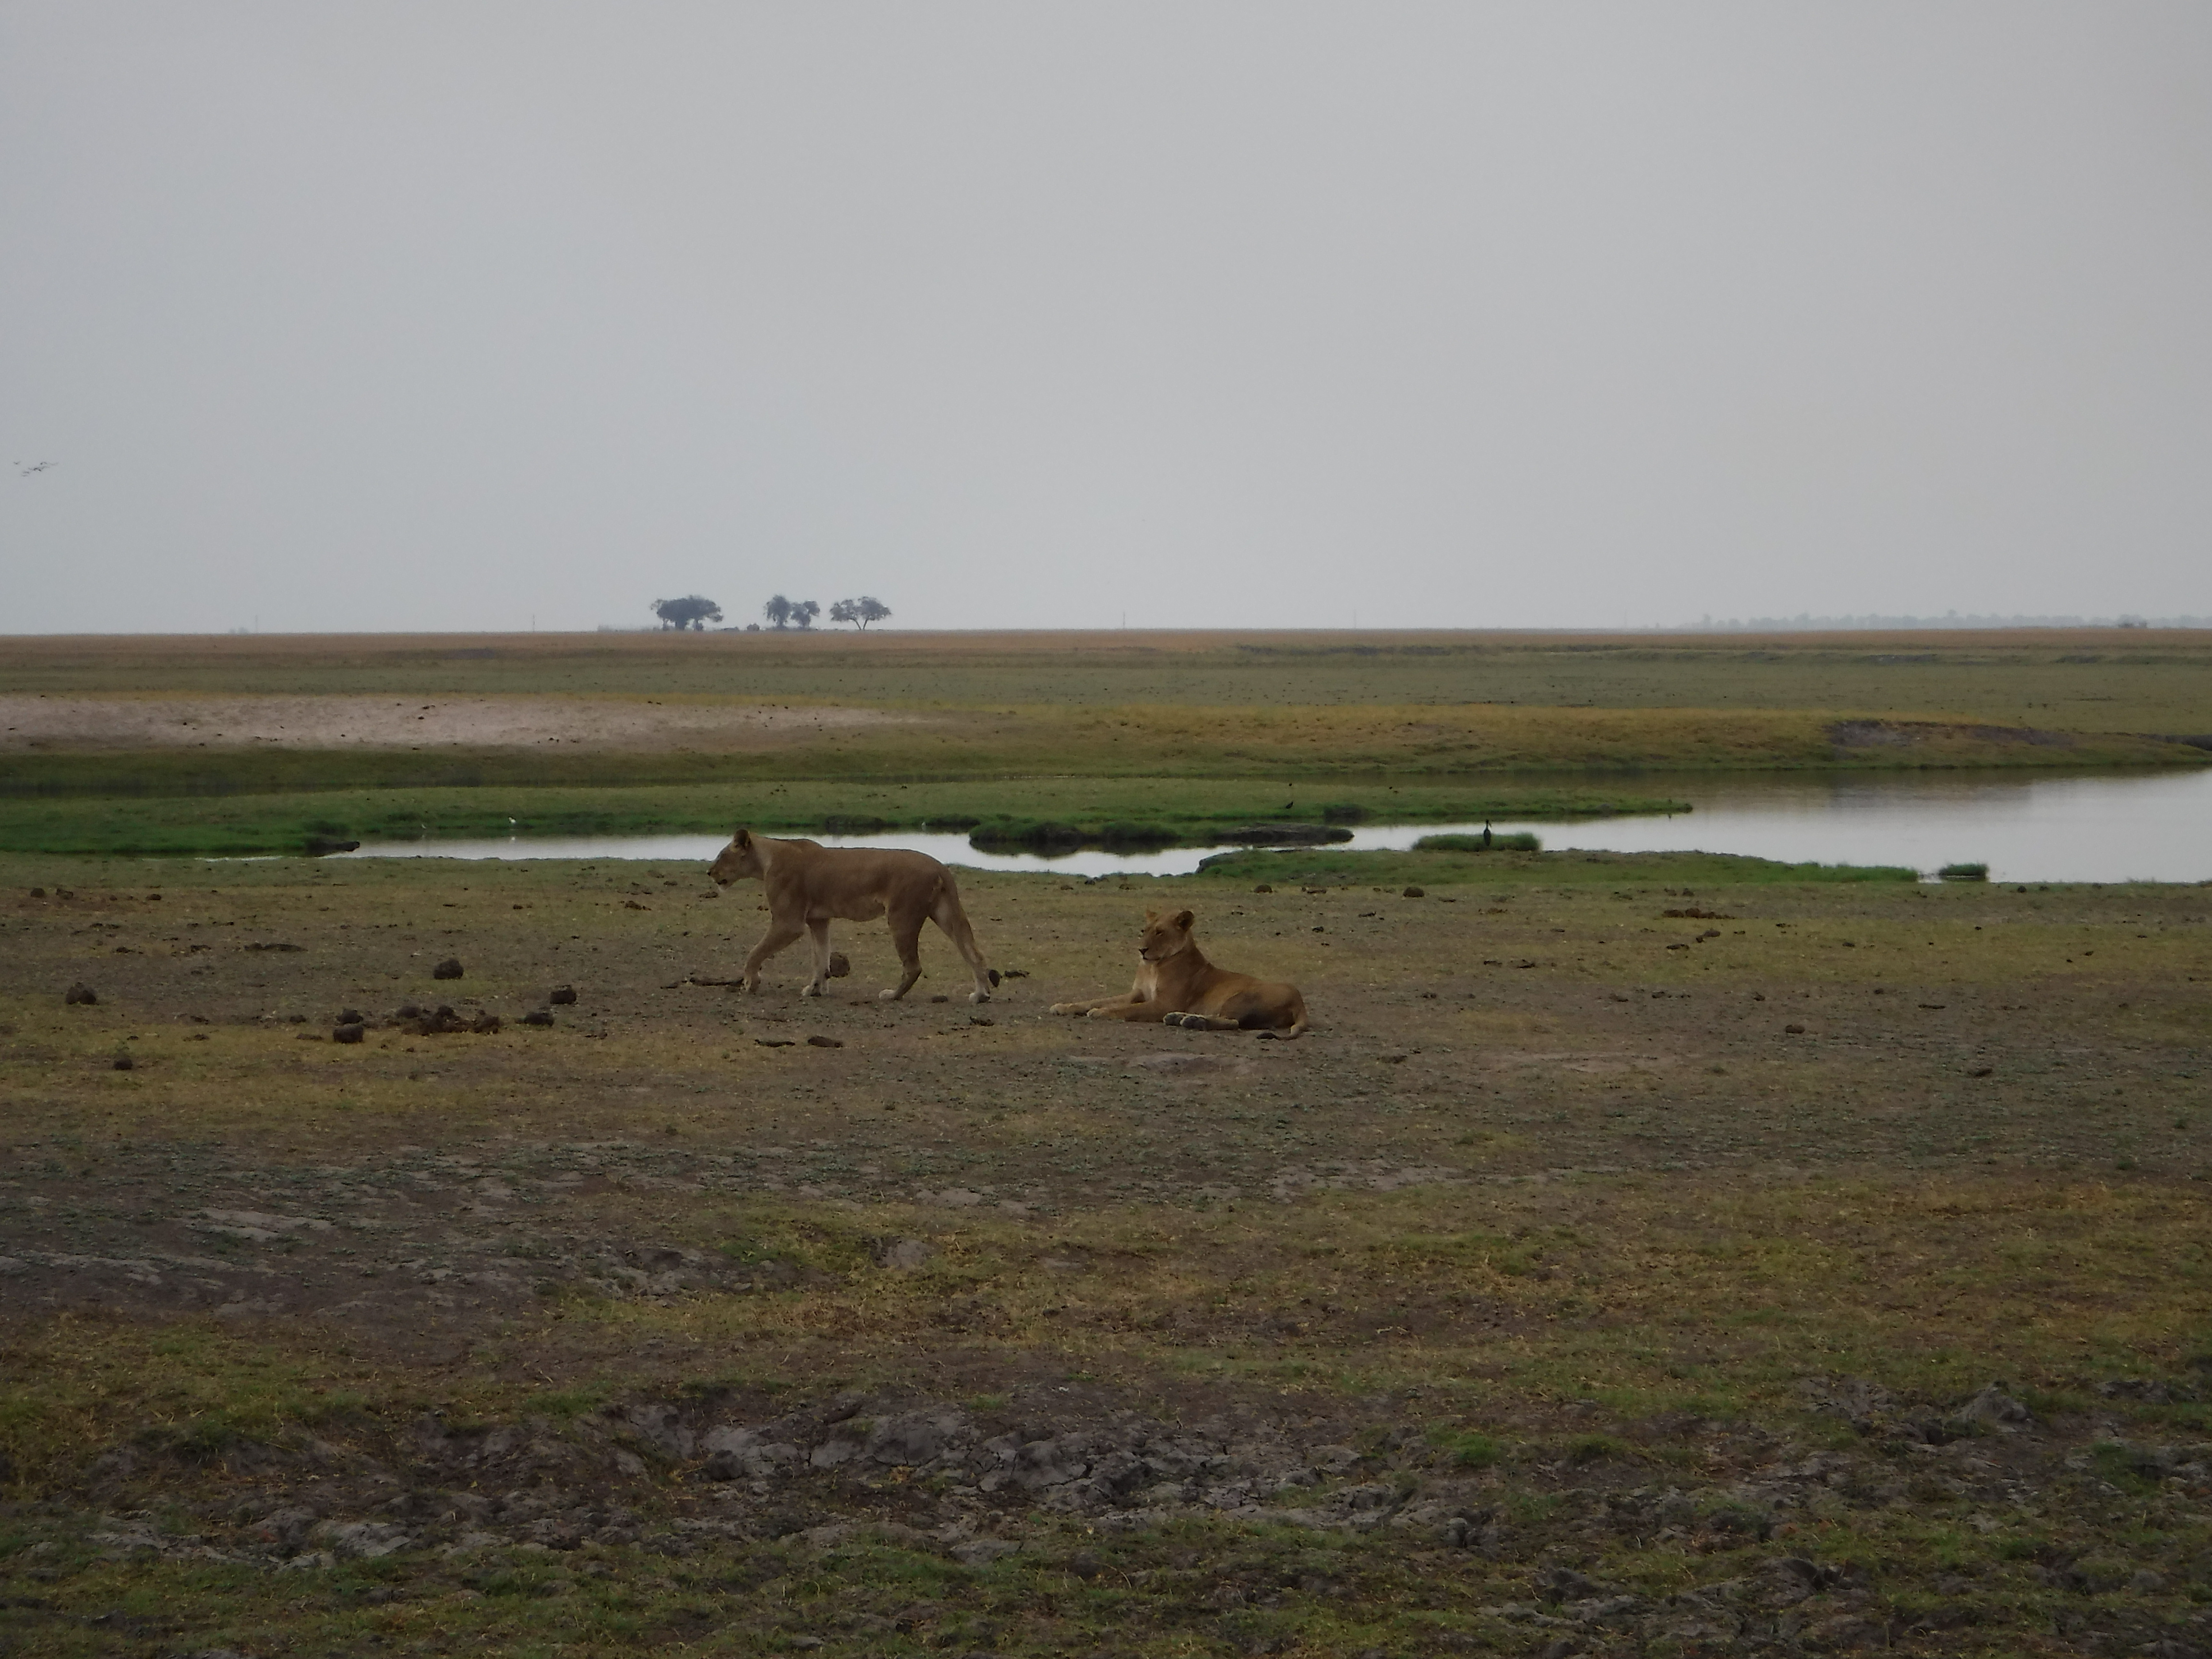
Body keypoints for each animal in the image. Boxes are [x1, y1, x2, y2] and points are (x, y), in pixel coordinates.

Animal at [708, 828, 997, 1003]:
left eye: (722, 855)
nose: (710, 872)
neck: (767, 859)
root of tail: (940, 866)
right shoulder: (818, 920)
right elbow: (820, 957)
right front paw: (816, 989)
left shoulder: (789, 923)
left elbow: (755, 952)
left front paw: (750, 983)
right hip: (944, 913)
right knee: (974, 953)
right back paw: (981, 994)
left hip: (901, 916)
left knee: (913, 966)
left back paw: (892, 995)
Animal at [1050, 907, 1308, 1037]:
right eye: (1145, 930)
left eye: (1160, 932)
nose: (1141, 950)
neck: (1154, 966)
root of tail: (1300, 1001)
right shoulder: (1137, 994)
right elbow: (1096, 1000)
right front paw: (1064, 1006)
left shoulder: (1163, 1002)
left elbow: (1126, 1009)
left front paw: (1102, 1012)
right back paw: (1179, 1018)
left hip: (1242, 996)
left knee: (1233, 1022)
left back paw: (1193, 1021)